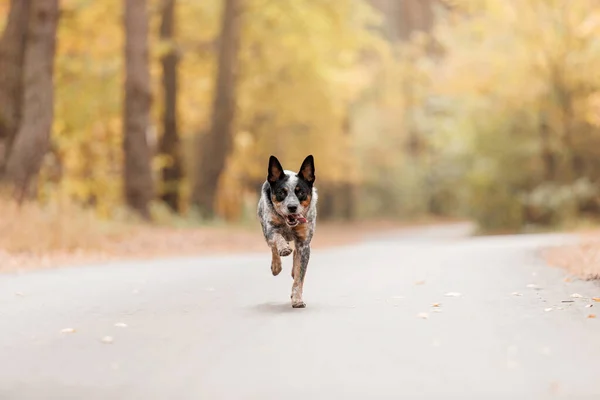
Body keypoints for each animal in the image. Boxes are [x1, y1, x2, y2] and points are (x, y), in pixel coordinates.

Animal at [255, 155, 316, 308]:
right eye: (281, 192)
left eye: (300, 192)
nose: (292, 207)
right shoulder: (270, 229)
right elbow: (277, 238)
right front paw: (283, 249)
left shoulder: (304, 243)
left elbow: (300, 276)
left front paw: (297, 299)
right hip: (264, 229)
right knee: (272, 247)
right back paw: (276, 265)